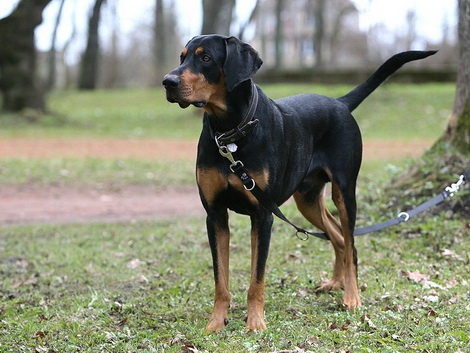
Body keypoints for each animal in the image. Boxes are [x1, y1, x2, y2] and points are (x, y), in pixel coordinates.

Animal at [162, 34, 436, 332]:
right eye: (182, 57)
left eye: (206, 58)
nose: (167, 81)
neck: (230, 133)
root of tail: (340, 103)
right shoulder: (215, 215)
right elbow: (220, 279)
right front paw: (215, 323)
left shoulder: (262, 215)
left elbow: (256, 278)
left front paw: (255, 322)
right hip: (307, 200)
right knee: (338, 236)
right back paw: (335, 283)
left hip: (344, 191)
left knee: (350, 242)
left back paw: (352, 296)